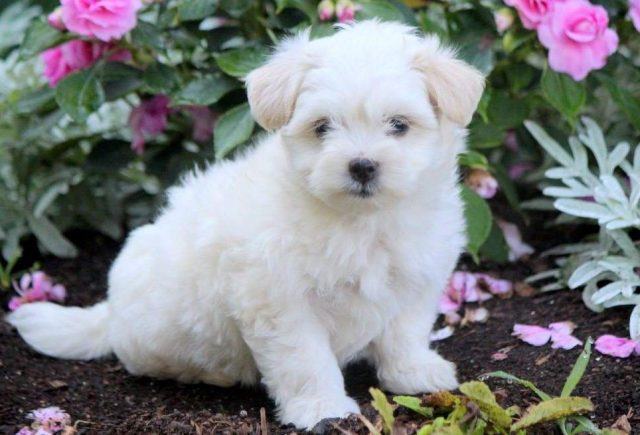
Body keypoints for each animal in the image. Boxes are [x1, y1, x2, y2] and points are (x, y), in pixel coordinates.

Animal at [7, 19, 482, 430]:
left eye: (399, 125)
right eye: (322, 127)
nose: (362, 165)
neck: (362, 220)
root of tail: (110, 312)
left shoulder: (418, 276)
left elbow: (405, 330)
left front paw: (414, 372)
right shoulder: (279, 299)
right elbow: (305, 358)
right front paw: (322, 408)